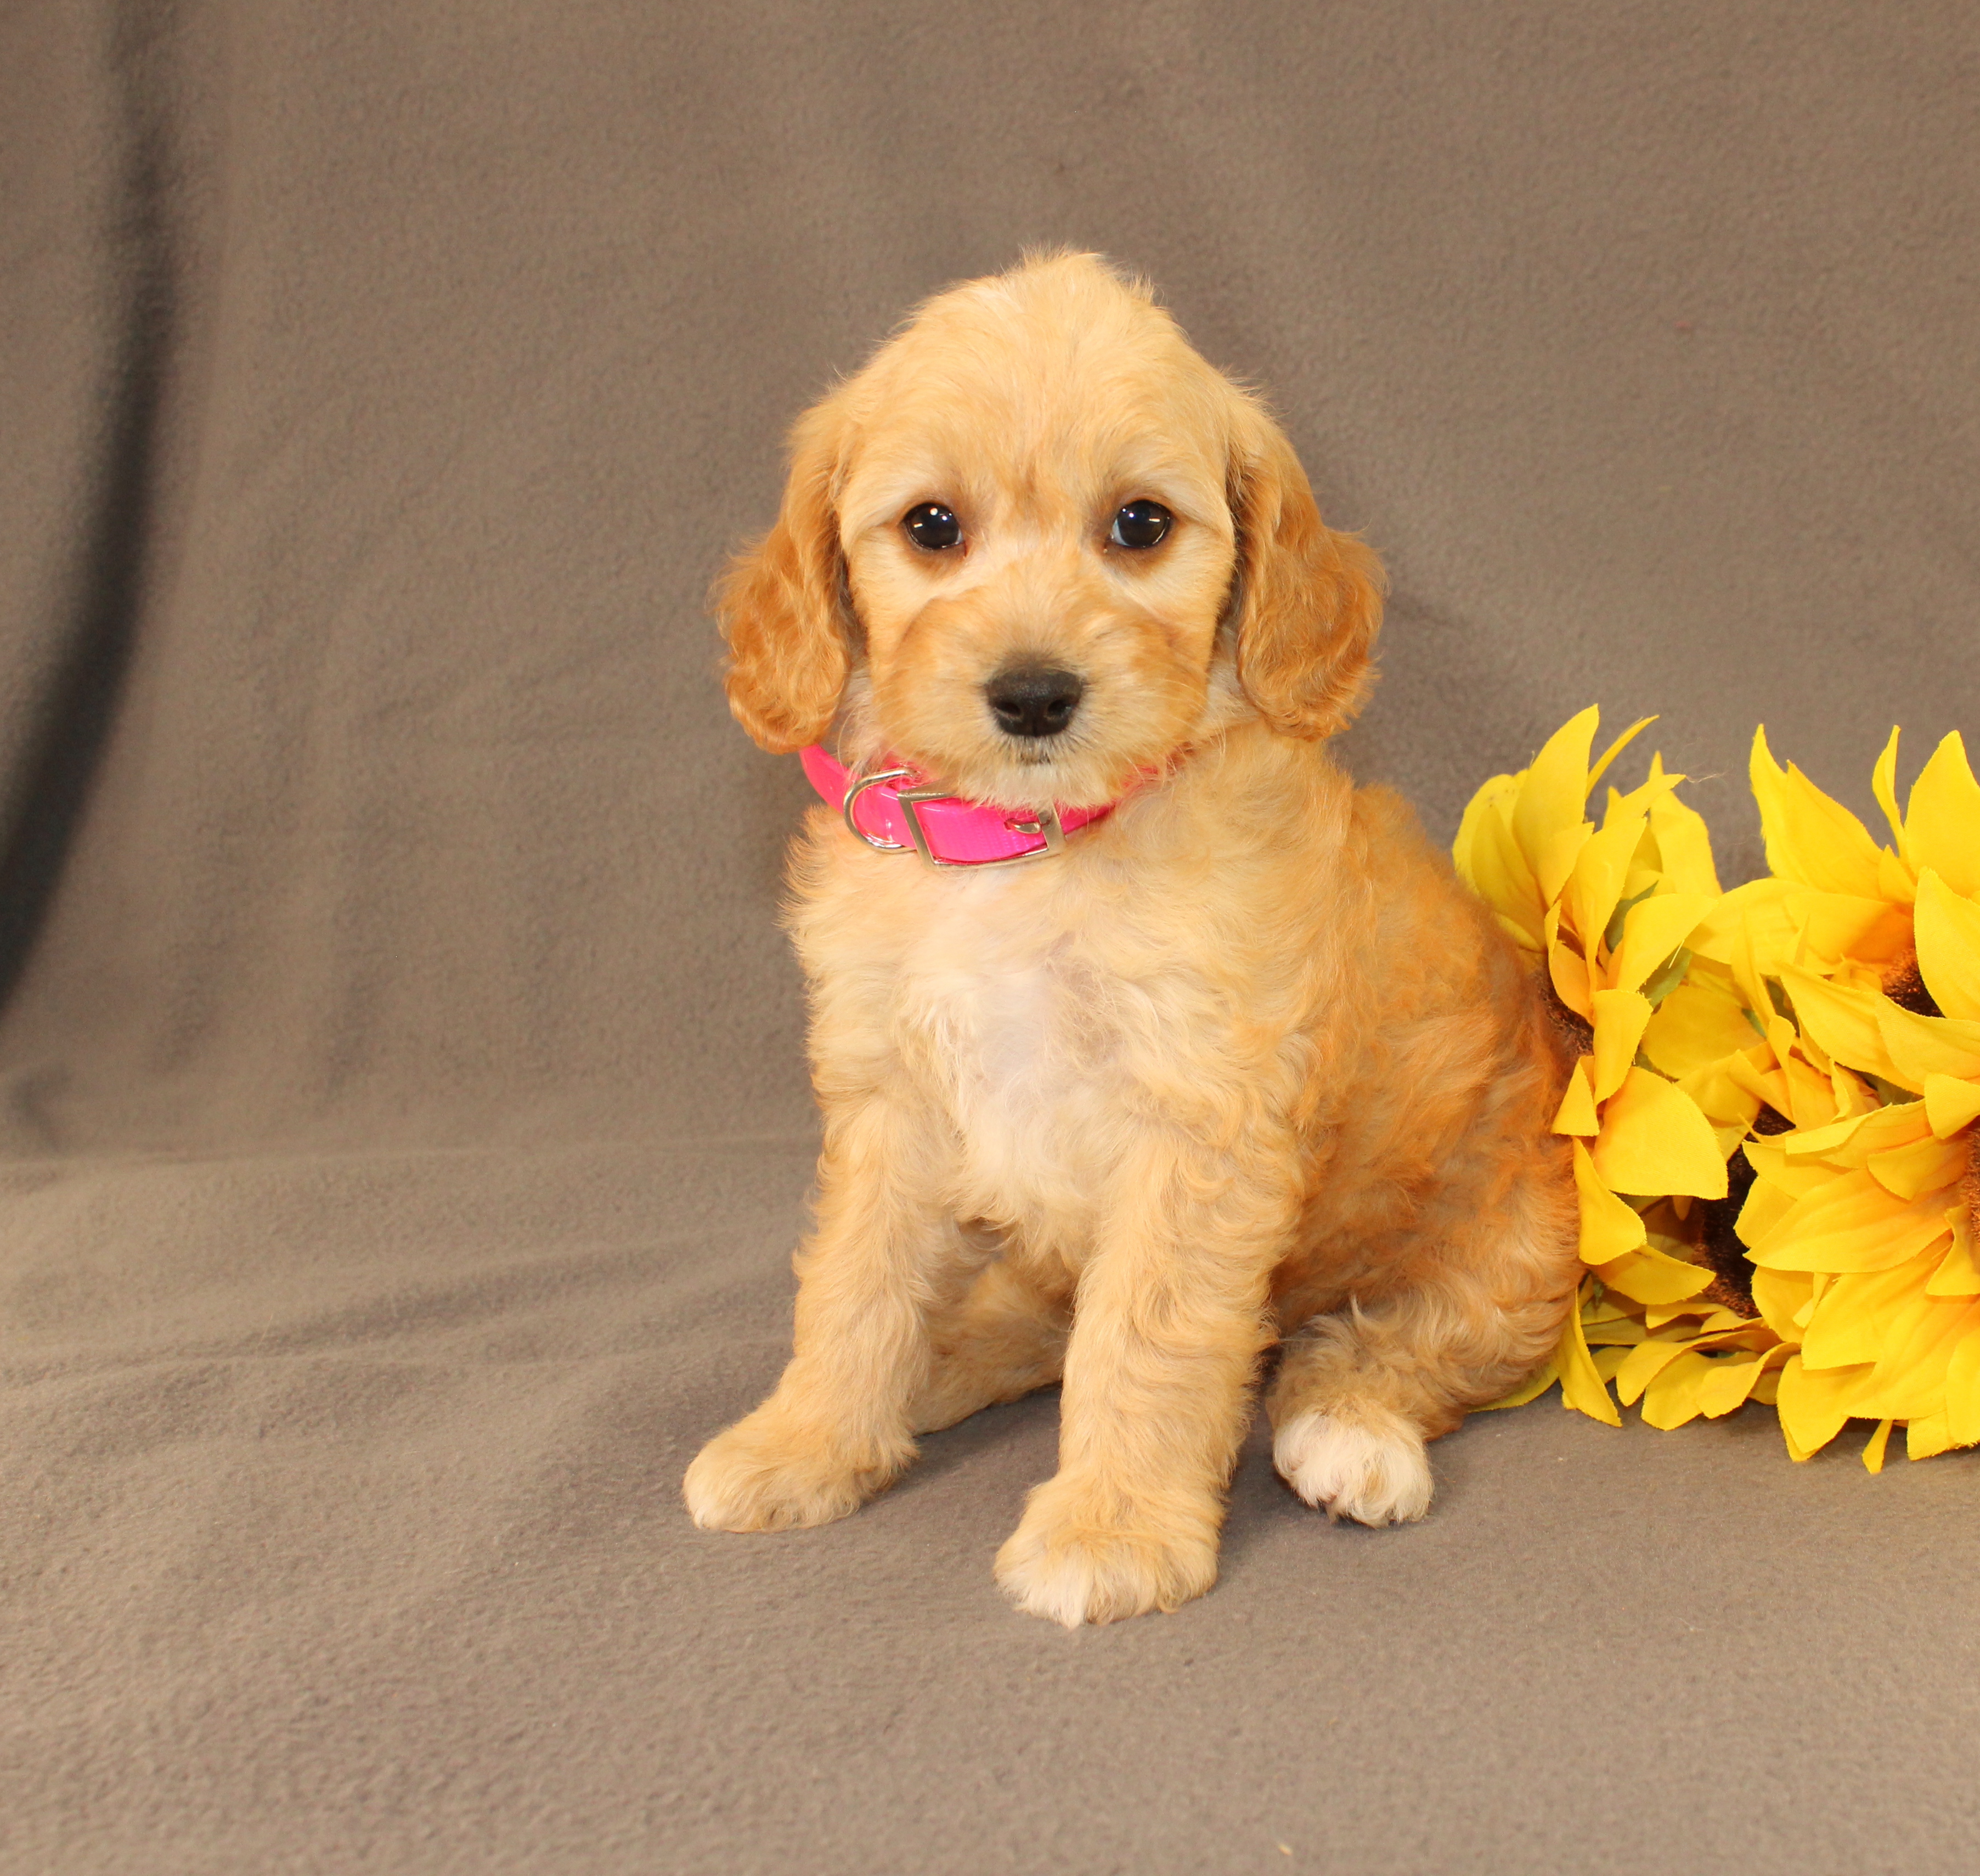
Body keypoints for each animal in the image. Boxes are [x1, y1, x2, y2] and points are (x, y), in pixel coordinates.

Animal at [685, 253, 1576, 1632]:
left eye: (1140, 525)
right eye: (930, 526)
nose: (1034, 693)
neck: (1032, 848)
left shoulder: (1196, 1120)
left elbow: (1144, 1332)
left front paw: (1111, 1523)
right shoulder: (889, 1102)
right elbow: (852, 1283)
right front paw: (807, 1440)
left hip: (1513, 1247)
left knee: (1406, 1343)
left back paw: (1350, 1429)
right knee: (1028, 1314)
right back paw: (939, 1366)